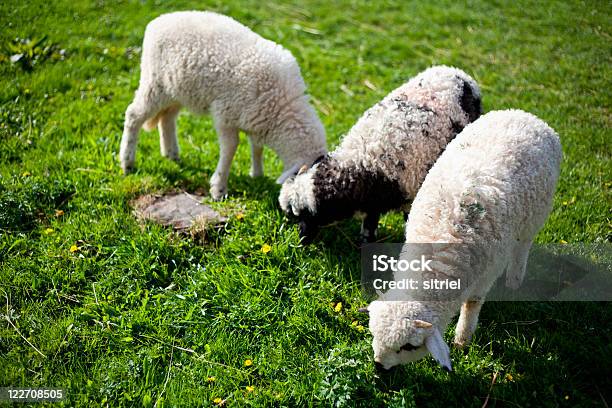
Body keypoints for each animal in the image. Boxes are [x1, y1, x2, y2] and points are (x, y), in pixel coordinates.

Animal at [278, 64, 482, 242]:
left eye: (302, 215)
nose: (301, 241)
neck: (363, 161)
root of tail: (459, 73)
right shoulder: (373, 203)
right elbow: (370, 222)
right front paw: (365, 241)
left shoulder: (409, 193)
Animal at [360, 110, 560, 372]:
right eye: (373, 333)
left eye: (409, 347)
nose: (379, 366)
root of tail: (526, 116)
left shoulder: (484, 276)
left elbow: (472, 305)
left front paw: (462, 340)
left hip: (535, 216)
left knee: (522, 247)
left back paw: (514, 281)